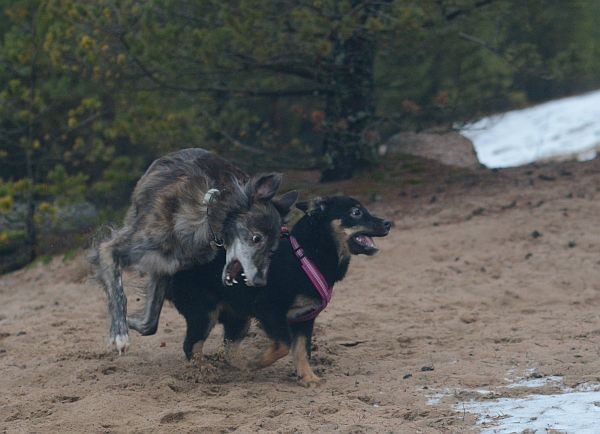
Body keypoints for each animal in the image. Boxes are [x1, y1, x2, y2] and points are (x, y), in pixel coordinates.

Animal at [164, 197, 392, 386]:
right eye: (356, 212)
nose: (388, 223)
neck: (308, 254)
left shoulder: (305, 318)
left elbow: (301, 350)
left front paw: (307, 377)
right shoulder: (269, 309)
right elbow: (284, 344)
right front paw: (258, 361)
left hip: (238, 316)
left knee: (229, 348)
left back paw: (240, 367)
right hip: (205, 313)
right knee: (191, 345)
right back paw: (205, 372)